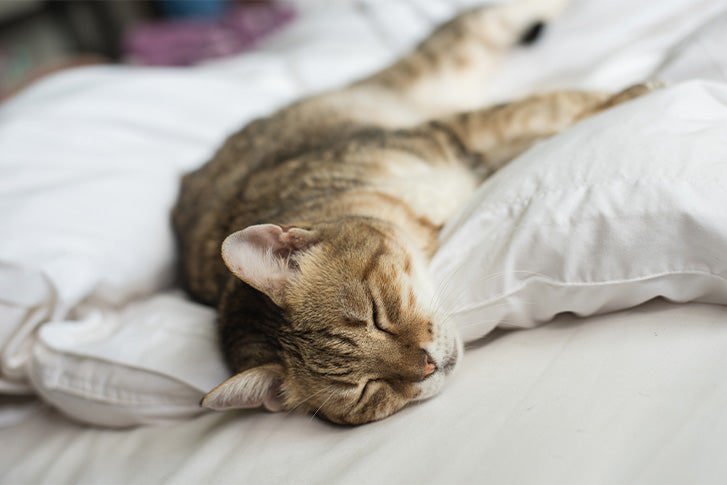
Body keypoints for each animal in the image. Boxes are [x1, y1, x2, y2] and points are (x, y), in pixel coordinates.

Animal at [172, 0, 660, 424]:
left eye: (374, 316)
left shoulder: (451, 132)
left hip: (445, 58)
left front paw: (636, 92)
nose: (427, 365)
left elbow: (549, 106)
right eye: (368, 388)